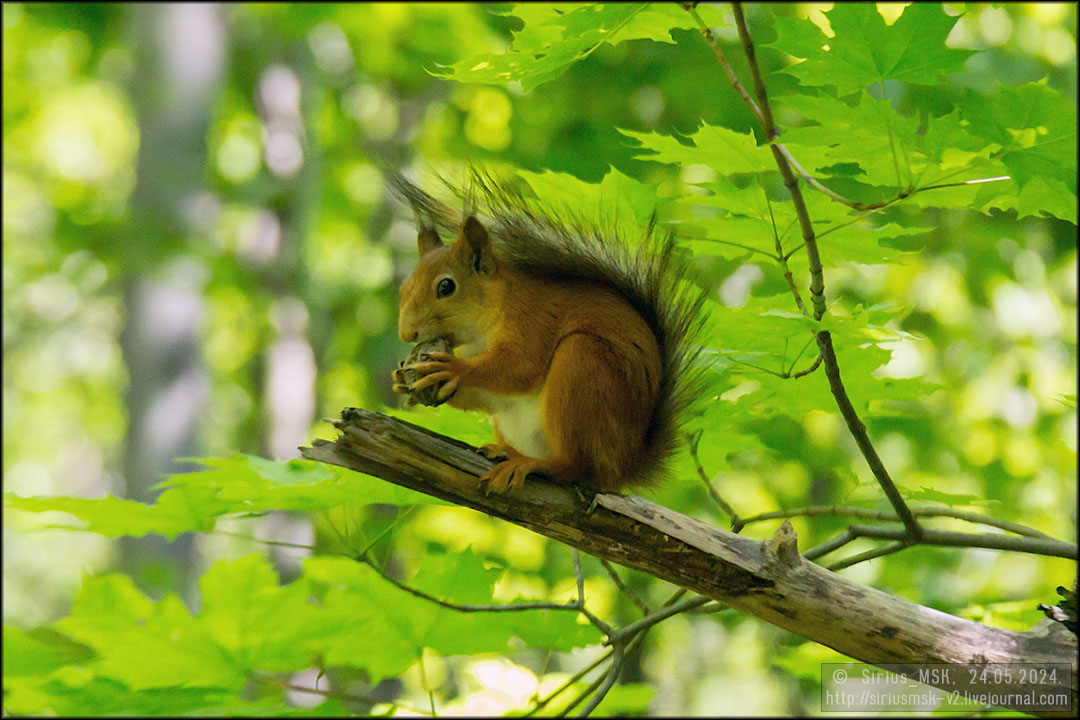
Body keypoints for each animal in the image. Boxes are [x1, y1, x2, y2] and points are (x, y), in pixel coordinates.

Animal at [388, 169, 708, 496]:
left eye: (446, 286)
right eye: (404, 288)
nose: (406, 334)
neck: (481, 327)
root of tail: (624, 469)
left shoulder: (531, 318)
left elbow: (519, 366)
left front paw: (454, 368)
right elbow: (489, 397)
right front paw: (403, 379)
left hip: (583, 369)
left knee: (578, 469)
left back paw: (533, 465)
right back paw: (507, 452)